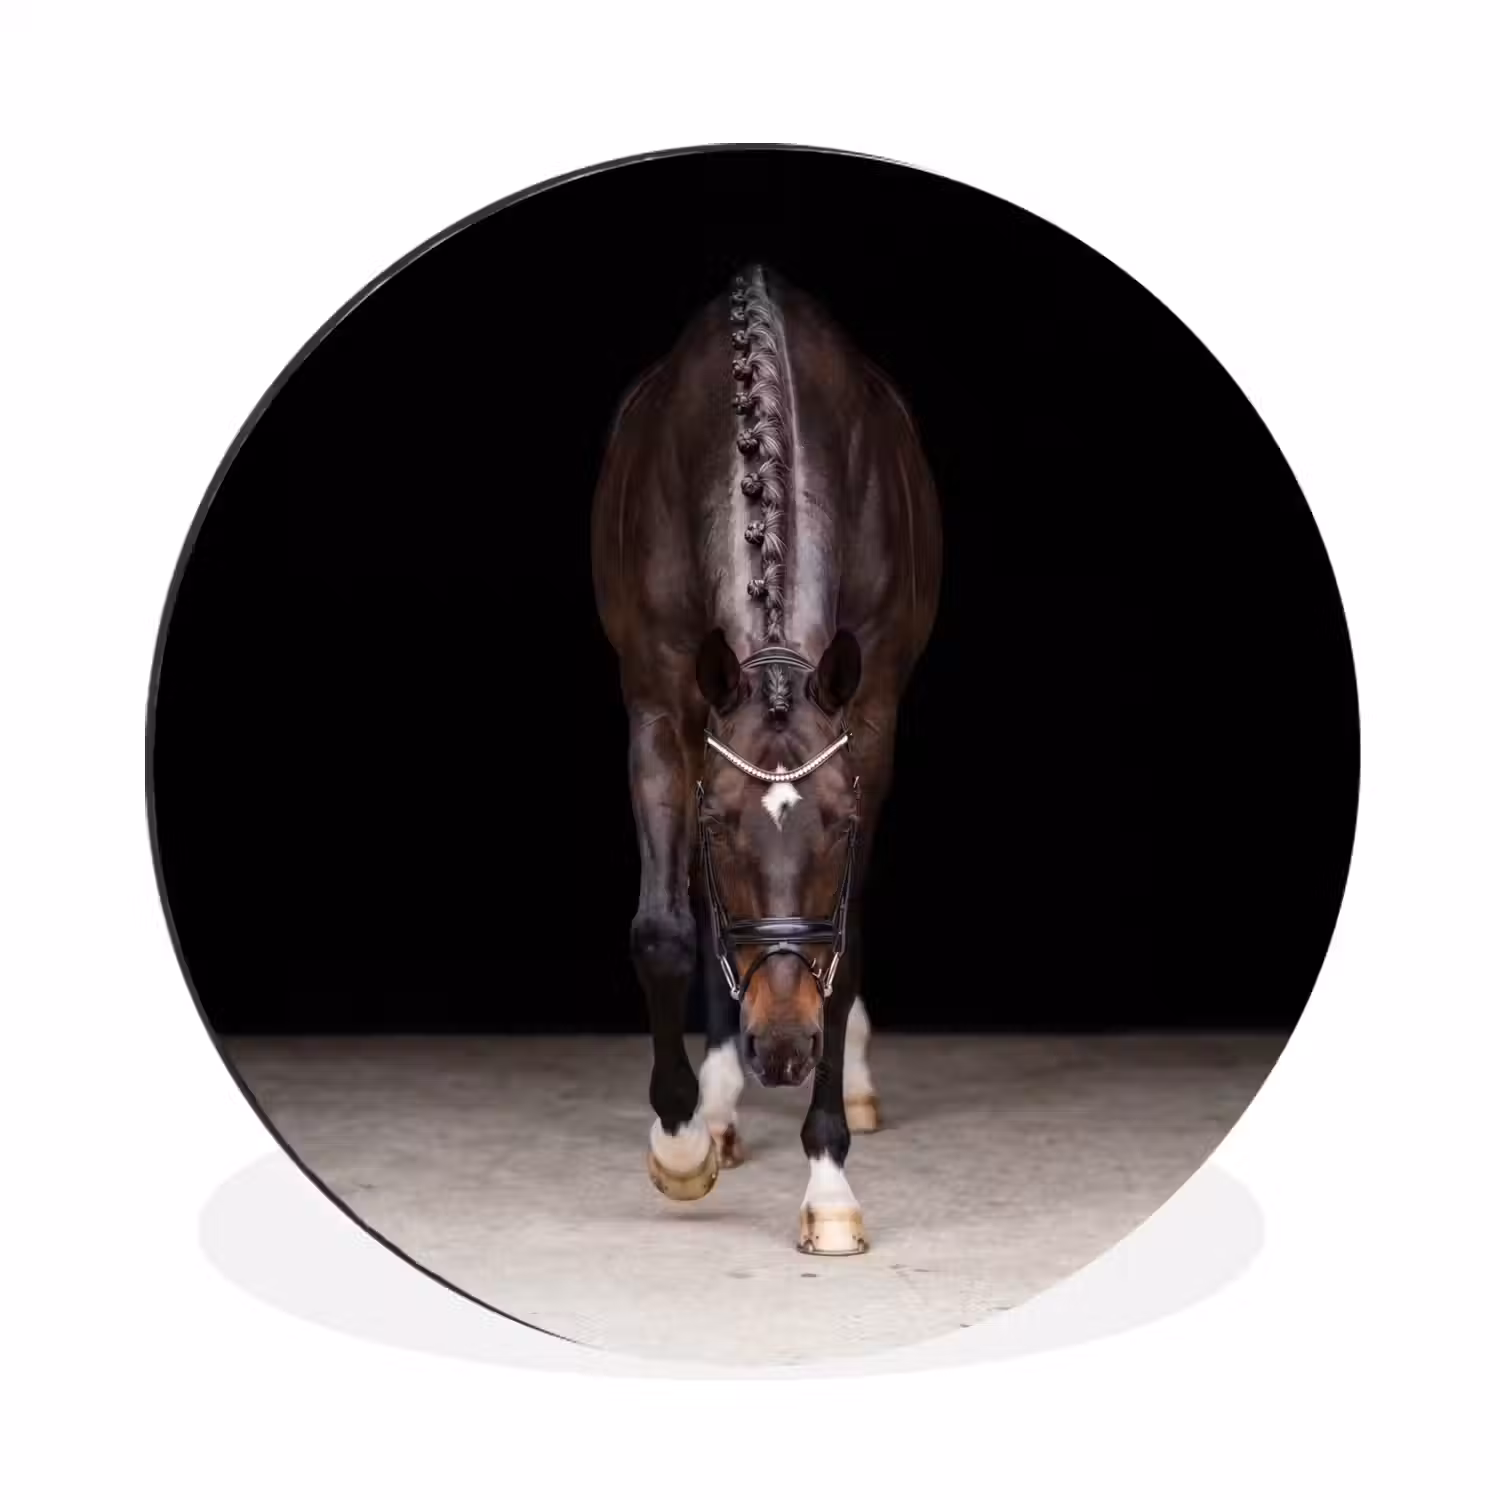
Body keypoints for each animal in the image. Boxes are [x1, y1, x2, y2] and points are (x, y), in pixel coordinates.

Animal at [591, 264, 942, 1254]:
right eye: (718, 827)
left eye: (840, 824)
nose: (782, 1048)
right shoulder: (660, 708)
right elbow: (666, 930)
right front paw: (680, 1144)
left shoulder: (870, 722)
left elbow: (842, 950)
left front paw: (829, 1186)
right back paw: (716, 1108)